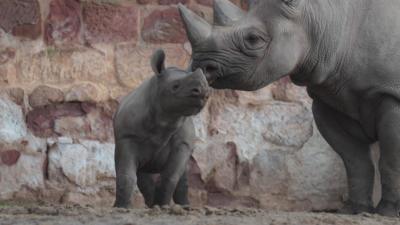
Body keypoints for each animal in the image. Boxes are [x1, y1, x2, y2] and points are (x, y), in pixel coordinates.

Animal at [111, 48, 208, 208]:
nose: (203, 92)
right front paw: (121, 207)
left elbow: (170, 176)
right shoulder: (127, 138)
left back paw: (183, 206)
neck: (165, 119)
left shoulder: (182, 143)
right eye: (175, 86)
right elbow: (126, 174)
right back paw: (151, 204)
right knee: (142, 173)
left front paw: (162, 206)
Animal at [180, 0, 400, 217]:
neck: (322, 21)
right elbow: (354, 160)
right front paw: (354, 211)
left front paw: (388, 212)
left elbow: (390, 160)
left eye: (253, 39)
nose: (201, 65)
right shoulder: (330, 97)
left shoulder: (391, 94)